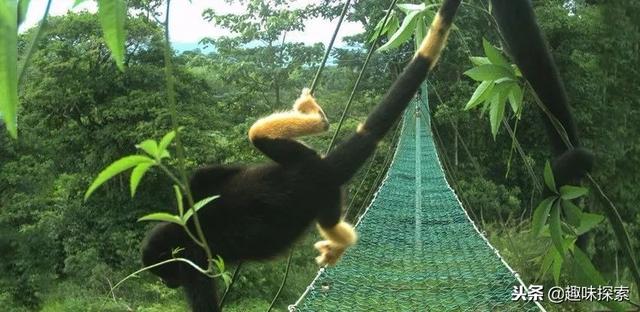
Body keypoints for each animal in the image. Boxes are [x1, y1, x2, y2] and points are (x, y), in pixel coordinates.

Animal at [141, 1, 460, 310]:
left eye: (167, 273)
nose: (169, 285)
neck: (182, 233)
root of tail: (322, 170)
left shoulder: (193, 265)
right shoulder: (194, 201)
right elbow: (206, 174)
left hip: (327, 197)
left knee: (329, 222)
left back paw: (340, 245)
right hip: (302, 158)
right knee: (257, 134)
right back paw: (318, 118)